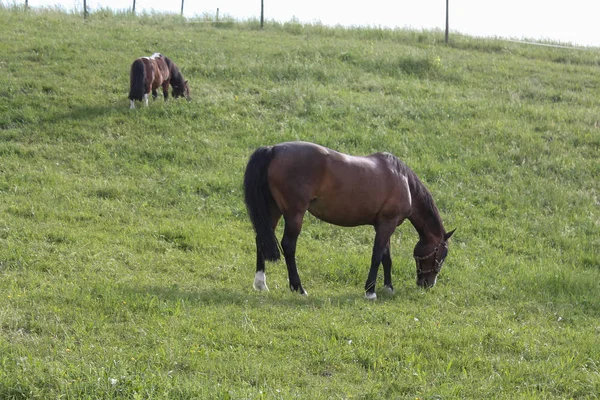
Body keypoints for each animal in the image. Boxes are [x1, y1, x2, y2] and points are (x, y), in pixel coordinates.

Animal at [244, 142, 454, 298]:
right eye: (442, 254)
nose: (427, 284)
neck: (403, 180)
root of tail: (274, 149)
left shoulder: (384, 225)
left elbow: (386, 257)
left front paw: (388, 287)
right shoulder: (388, 224)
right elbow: (377, 255)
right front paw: (370, 291)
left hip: (273, 211)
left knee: (261, 239)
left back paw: (261, 284)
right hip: (294, 213)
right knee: (288, 245)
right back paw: (298, 288)